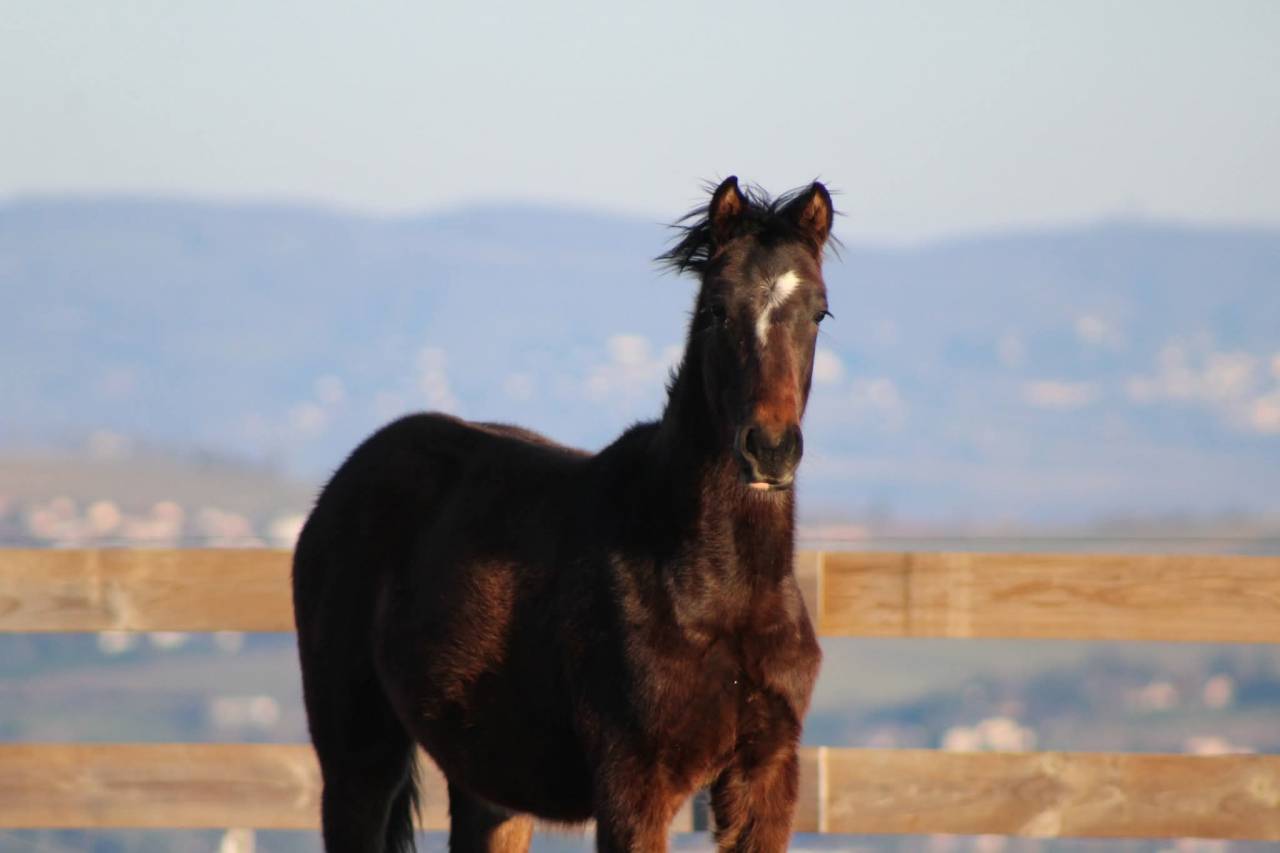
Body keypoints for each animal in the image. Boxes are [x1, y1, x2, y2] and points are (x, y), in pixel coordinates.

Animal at [292, 176, 833, 852]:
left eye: (819, 311)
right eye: (716, 309)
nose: (770, 448)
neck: (710, 589)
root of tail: (343, 482)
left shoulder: (765, 777)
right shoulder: (634, 787)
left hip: (490, 780)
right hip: (358, 758)